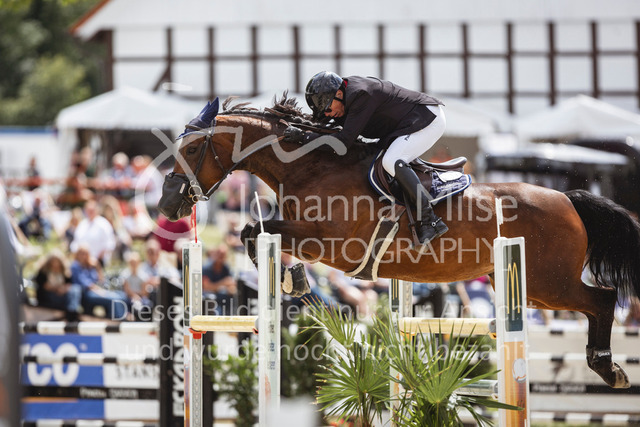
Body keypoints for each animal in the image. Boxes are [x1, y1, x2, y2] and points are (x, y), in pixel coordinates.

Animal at [158, 95, 640, 389]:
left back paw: (608, 367)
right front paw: (293, 281)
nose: (167, 204)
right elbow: (254, 233)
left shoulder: (331, 243)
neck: (310, 167)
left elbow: (258, 232)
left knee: (602, 299)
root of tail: (568, 198)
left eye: (192, 150)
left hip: (547, 283)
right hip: (533, 289)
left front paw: (293, 282)